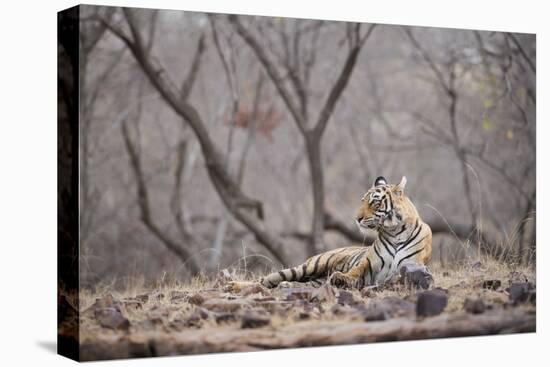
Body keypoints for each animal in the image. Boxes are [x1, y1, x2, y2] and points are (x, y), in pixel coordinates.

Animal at [226, 176, 434, 294]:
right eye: (362, 201)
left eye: (374, 202)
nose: (357, 219)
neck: (394, 231)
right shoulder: (368, 264)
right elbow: (354, 271)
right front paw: (341, 276)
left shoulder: (410, 265)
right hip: (306, 267)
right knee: (264, 280)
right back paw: (233, 286)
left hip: (314, 279)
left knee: (293, 284)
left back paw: (287, 286)